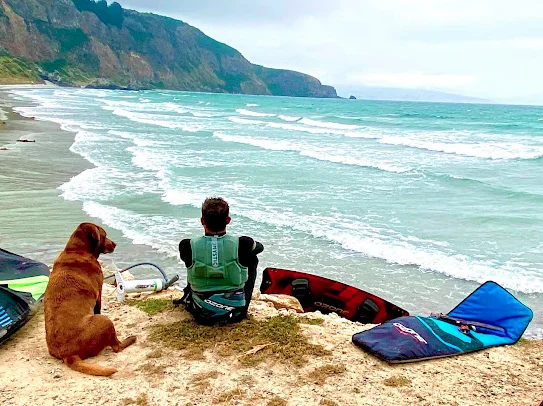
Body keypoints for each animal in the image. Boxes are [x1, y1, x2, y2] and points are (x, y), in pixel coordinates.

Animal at [45, 224, 137, 376]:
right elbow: (98, 308)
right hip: (105, 321)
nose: (115, 244)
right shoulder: (99, 292)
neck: (76, 250)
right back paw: (130, 339)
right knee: (116, 347)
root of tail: (68, 354)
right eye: (104, 235)